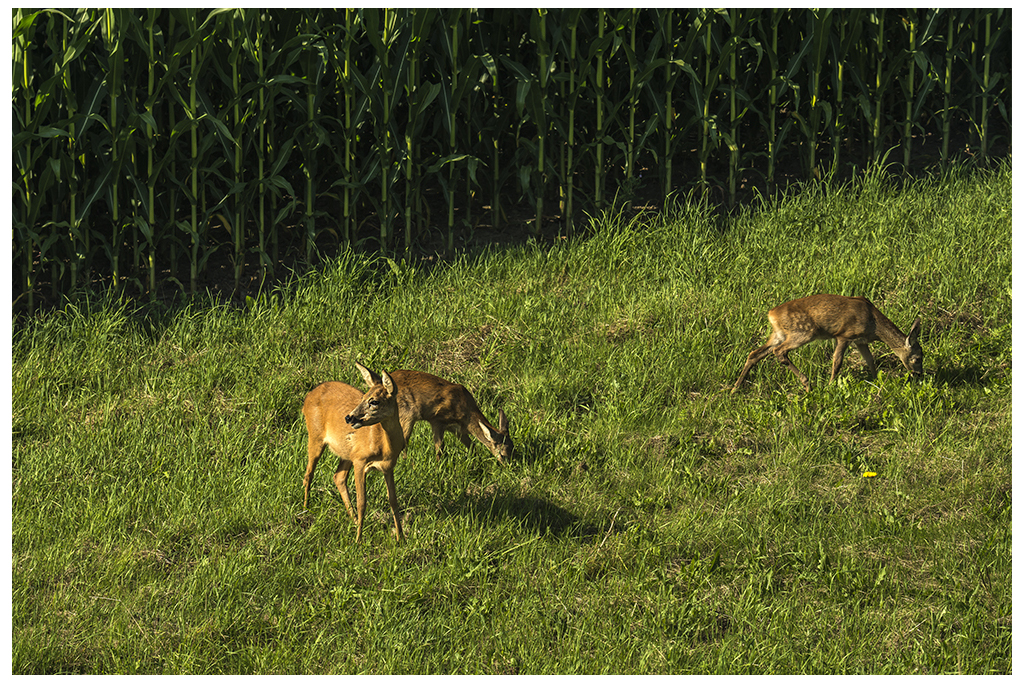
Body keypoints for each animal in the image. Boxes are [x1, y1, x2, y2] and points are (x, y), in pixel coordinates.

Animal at [299, 362, 407, 544]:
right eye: (363, 397)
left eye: (374, 401)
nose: (349, 418)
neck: (385, 447)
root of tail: (308, 395)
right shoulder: (360, 461)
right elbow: (362, 502)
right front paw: (358, 540)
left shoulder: (388, 467)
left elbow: (393, 500)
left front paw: (401, 538)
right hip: (315, 436)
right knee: (309, 473)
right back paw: (306, 509)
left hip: (346, 453)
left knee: (338, 477)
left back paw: (354, 520)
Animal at [358, 362, 516, 464]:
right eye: (503, 454)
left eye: (512, 449)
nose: (509, 467)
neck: (467, 413)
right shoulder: (437, 419)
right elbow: (439, 448)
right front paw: (439, 467)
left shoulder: (457, 429)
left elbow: (472, 446)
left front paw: (477, 462)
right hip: (407, 415)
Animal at [733, 294, 925, 395]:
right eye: (917, 358)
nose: (919, 375)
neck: (874, 325)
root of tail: (771, 314)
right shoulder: (844, 335)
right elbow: (837, 362)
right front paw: (831, 386)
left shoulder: (860, 341)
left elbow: (870, 361)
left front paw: (878, 382)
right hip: (804, 332)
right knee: (779, 352)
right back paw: (807, 383)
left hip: (778, 334)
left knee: (754, 354)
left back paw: (735, 388)